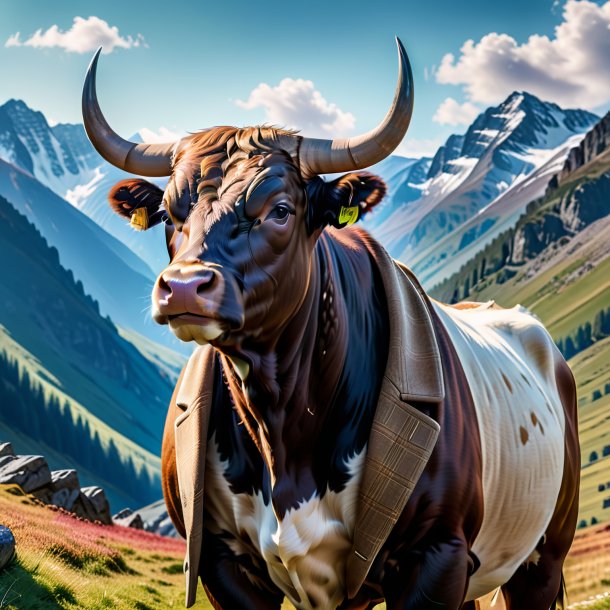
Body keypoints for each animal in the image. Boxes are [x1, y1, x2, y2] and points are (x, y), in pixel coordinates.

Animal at [82, 39, 580, 608]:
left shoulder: (437, 554)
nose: (184, 287)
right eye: (168, 213)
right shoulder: (222, 562)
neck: (281, 420)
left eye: (279, 210)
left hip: (542, 559)